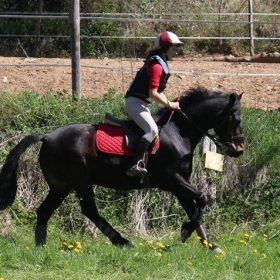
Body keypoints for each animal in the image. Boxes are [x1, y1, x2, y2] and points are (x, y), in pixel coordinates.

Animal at [0, 88, 243, 252]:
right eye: (235, 119)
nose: (239, 150)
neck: (178, 131)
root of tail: (47, 136)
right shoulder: (171, 179)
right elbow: (201, 200)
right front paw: (186, 232)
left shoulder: (179, 183)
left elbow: (194, 209)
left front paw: (210, 244)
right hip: (80, 181)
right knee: (89, 210)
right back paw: (122, 241)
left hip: (62, 185)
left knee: (44, 211)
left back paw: (40, 247)